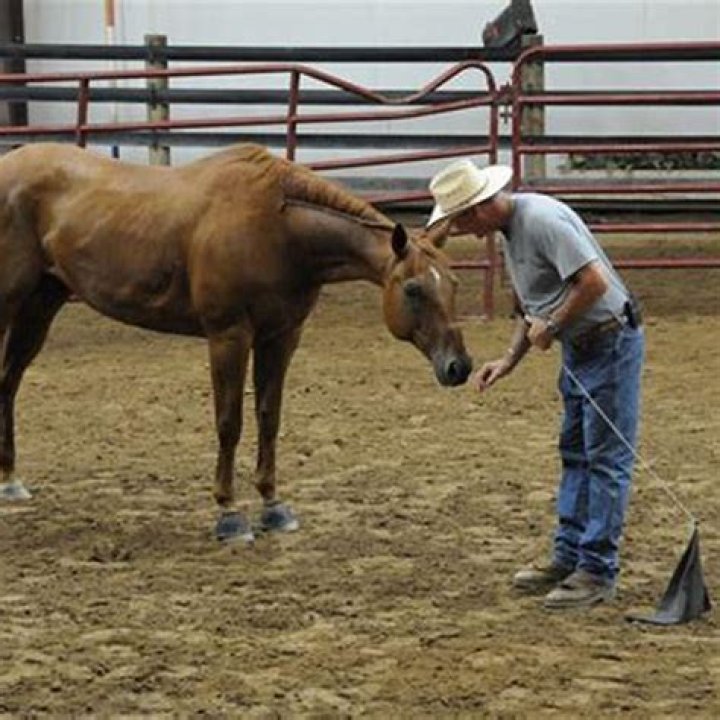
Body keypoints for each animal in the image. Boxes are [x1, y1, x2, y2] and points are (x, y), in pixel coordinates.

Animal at [0, 142, 472, 542]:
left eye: (452, 283)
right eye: (413, 289)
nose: (459, 366)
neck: (278, 228)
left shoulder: (281, 337)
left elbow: (269, 417)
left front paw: (273, 506)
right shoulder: (229, 335)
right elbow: (230, 422)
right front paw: (228, 514)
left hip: (41, 303)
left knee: (9, 381)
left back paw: (10, 480)